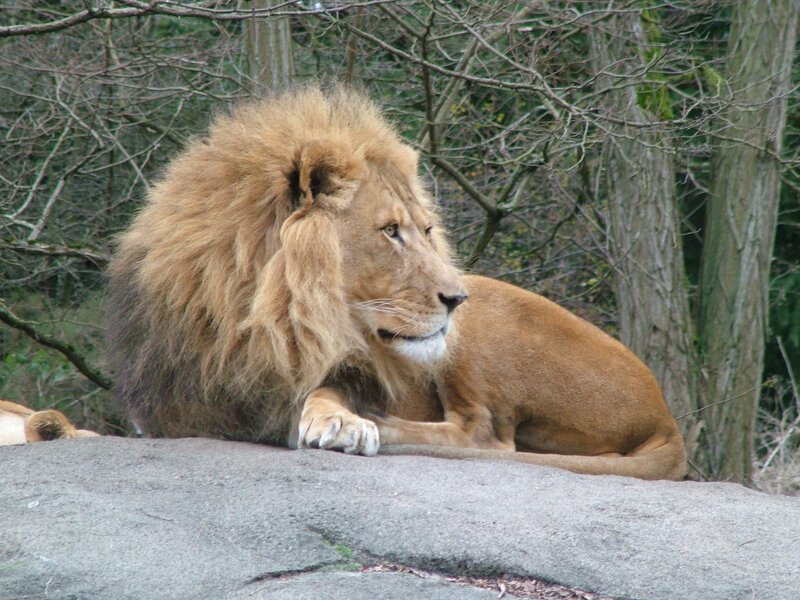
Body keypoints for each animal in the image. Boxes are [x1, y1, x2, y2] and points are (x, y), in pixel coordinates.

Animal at [107, 86, 686, 481]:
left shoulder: (349, 369)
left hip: (484, 330)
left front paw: (341, 421)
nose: (457, 298)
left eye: (427, 231)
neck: (255, 323)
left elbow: (324, 389)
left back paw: (378, 423)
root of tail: (666, 414)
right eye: (390, 231)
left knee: (487, 438)